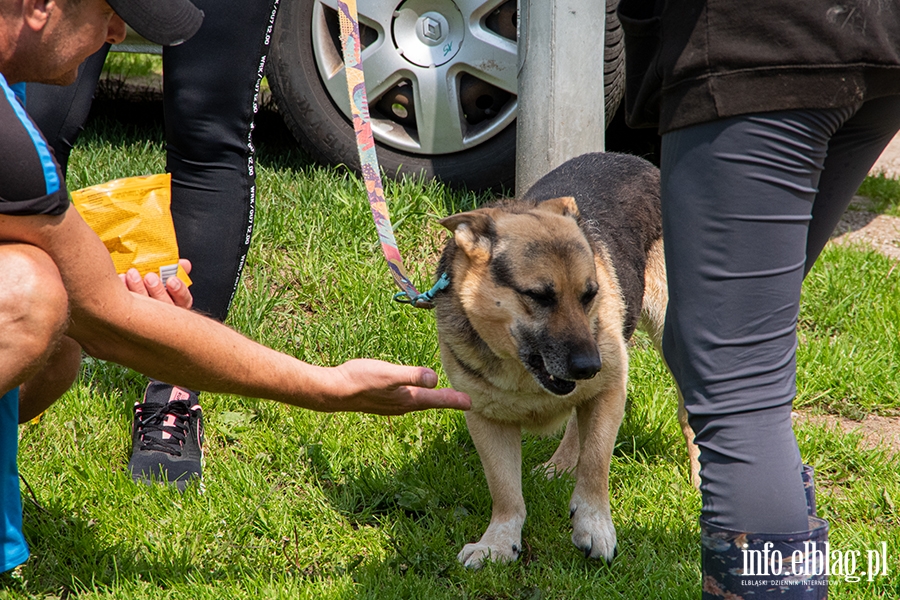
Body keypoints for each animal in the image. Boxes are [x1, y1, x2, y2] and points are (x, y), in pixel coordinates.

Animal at [432, 150, 700, 568]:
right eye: (539, 296)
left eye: (589, 294)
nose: (590, 366)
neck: (523, 372)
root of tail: (639, 161)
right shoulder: (485, 418)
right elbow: (504, 489)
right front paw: (499, 543)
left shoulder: (608, 390)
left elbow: (595, 464)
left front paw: (594, 526)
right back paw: (559, 464)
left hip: (672, 338)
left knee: (690, 415)